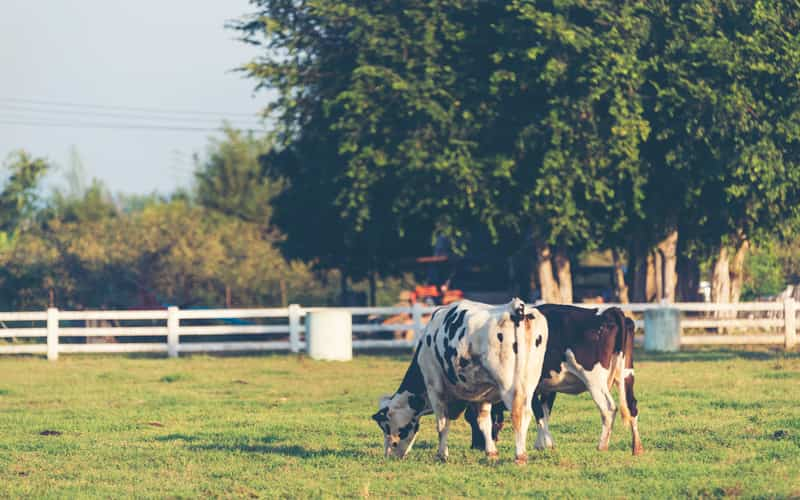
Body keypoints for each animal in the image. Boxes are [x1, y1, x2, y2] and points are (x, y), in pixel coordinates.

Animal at [370, 296, 548, 464]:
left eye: (386, 426)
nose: (389, 455)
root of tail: (516, 309)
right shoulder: (482, 394)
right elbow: (484, 422)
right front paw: (491, 453)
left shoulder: (435, 389)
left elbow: (442, 424)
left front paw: (442, 455)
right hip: (529, 383)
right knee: (528, 413)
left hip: (509, 386)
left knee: (518, 414)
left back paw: (520, 456)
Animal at [462, 304, 644, 458]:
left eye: (470, 418)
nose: (475, 446)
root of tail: (608, 312)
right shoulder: (548, 388)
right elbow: (545, 412)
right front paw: (544, 443)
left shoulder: (531, 388)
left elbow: (538, 413)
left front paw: (544, 444)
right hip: (627, 374)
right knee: (632, 405)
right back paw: (637, 447)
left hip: (595, 380)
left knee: (608, 408)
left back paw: (602, 446)